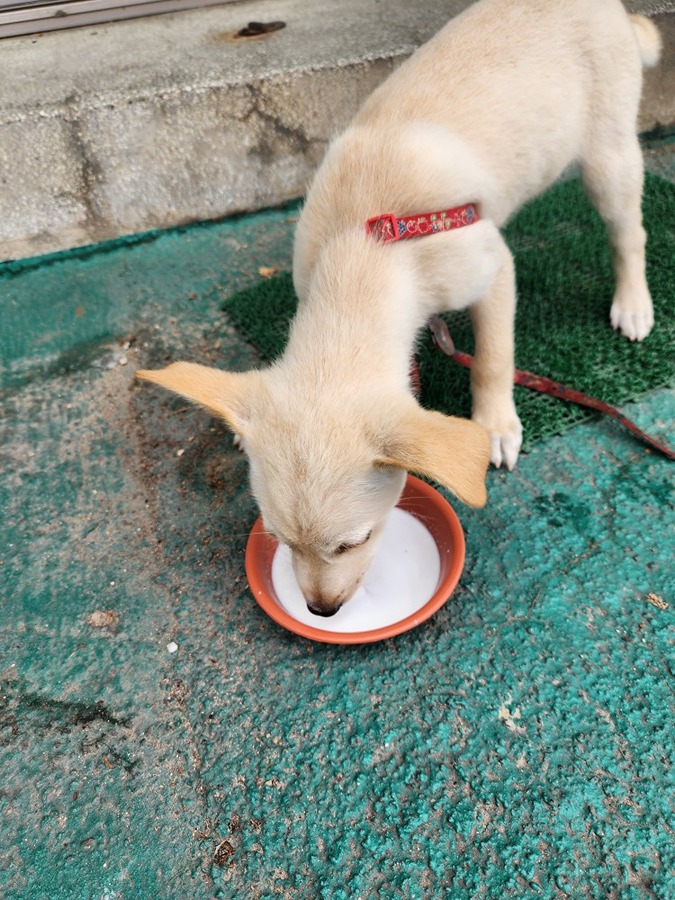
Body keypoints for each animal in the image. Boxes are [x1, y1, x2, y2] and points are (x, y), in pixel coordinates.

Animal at [137, 0, 660, 616]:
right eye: (279, 539)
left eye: (354, 541)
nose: (321, 611)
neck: (365, 246)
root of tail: (611, 10)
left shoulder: (492, 268)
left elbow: (492, 358)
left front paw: (495, 425)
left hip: (609, 157)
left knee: (629, 232)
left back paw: (633, 304)